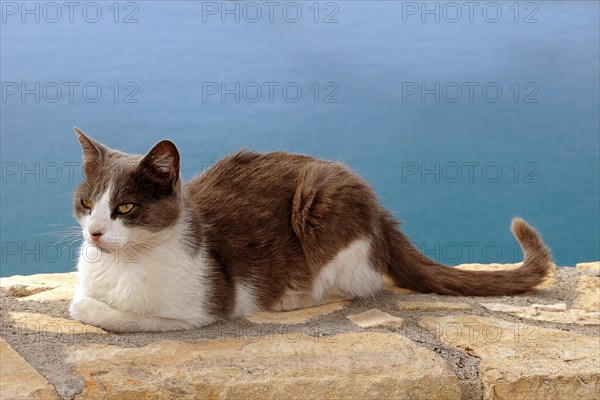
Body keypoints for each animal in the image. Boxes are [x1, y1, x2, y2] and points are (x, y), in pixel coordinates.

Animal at [69, 127, 552, 332]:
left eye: (125, 207)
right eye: (87, 204)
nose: (95, 233)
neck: (121, 266)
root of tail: (379, 212)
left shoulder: (196, 310)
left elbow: (104, 312)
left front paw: (89, 307)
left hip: (321, 207)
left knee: (357, 284)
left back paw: (291, 298)